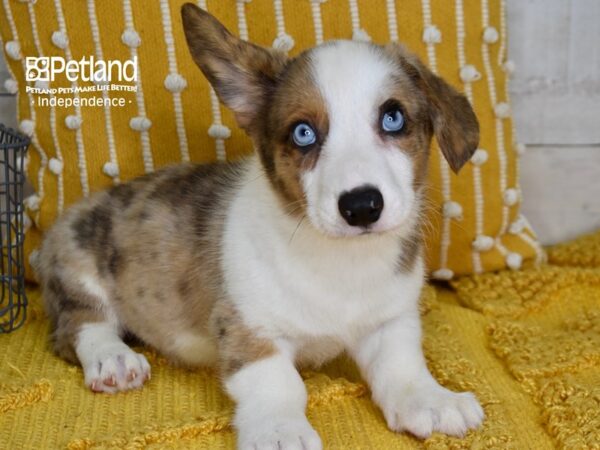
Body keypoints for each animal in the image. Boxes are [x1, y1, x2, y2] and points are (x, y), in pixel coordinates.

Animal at [39, 4, 482, 450]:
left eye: (394, 118)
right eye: (303, 133)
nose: (361, 207)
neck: (340, 258)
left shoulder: (389, 321)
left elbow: (402, 365)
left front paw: (430, 399)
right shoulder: (249, 328)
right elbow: (278, 382)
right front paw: (279, 429)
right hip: (78, 264)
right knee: (81, 324)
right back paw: (112, 357)